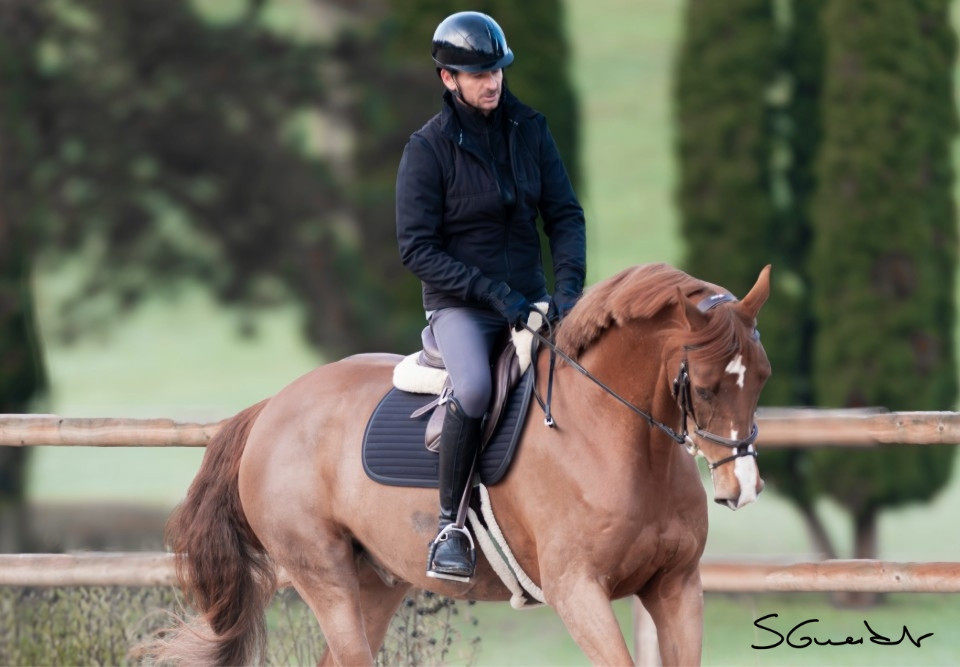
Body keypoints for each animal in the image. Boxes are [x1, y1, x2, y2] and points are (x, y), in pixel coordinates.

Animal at [145, 262, 771, 666]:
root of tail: (271, 408)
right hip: (323, 574)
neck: (623, 443)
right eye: (707, 387)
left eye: (762, 377)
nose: (741, 488)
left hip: (376, 582)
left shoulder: (677, 585)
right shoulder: (577, 591)